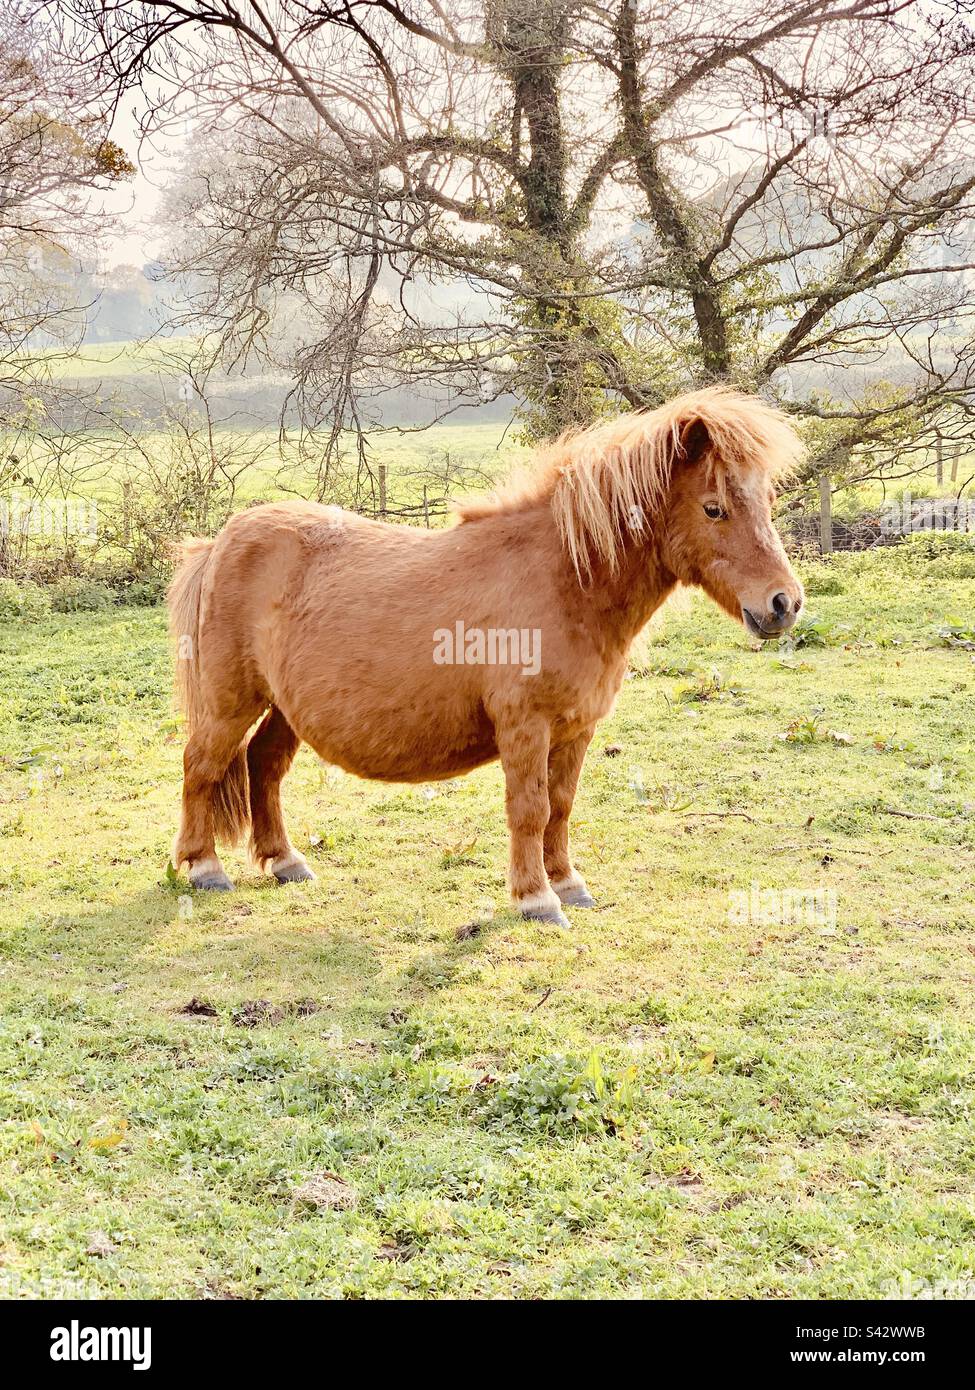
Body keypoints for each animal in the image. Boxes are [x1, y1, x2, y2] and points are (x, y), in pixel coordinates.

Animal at [168, 386, 806, 922]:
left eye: (767, 500)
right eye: (714, 508)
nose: (784, 603)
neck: (565, 583)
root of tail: (219, 543)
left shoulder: (576, 730)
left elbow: (561, 806)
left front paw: (568, 884)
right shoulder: (525, 727)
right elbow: (530, 809)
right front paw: (537, 899)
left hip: (284, 708)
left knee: (264, 765)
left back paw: (285, 861)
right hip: (230, 702)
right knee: (201, 766)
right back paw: (205, 868)